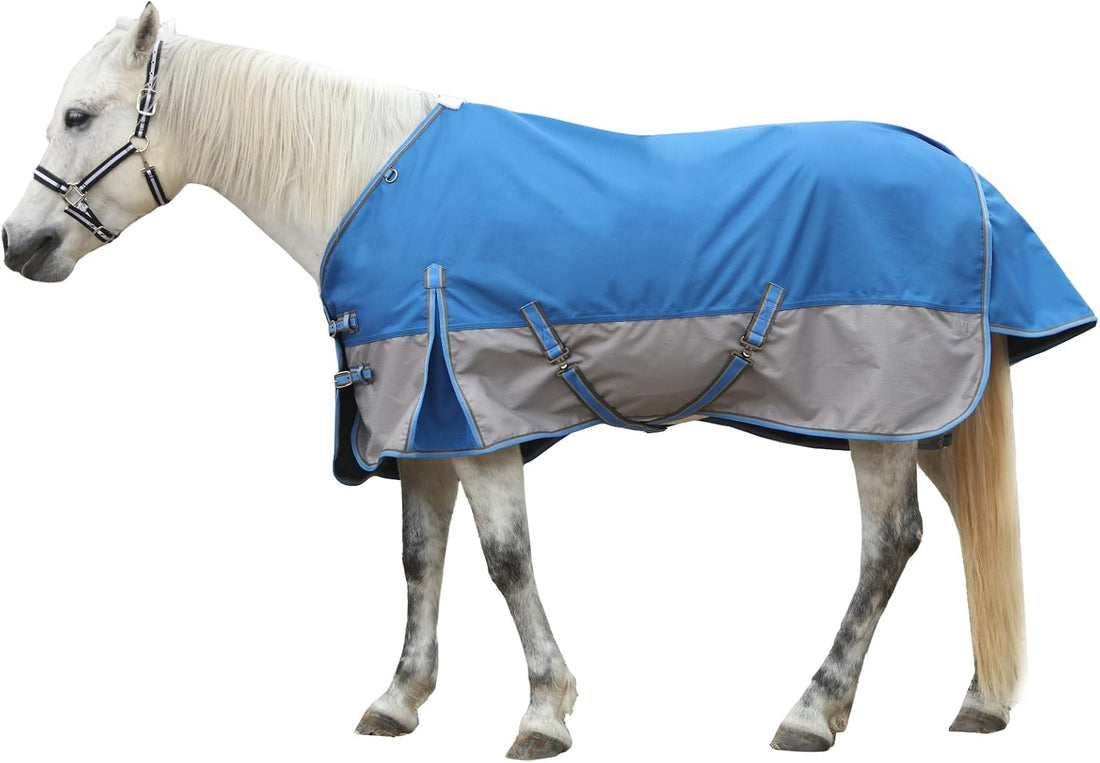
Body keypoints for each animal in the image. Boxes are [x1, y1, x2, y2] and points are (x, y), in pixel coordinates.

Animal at [2, 5, 1094, 758]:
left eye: (78, 114)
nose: (22, 246)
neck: (369, 181)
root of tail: (966, 179)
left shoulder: (475, 417)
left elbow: (505, 561)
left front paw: (542, 710)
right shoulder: (423, 424)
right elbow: (420, 561)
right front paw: (399, 698)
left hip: (883, 416)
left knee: (888, 545)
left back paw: (812, 709)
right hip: (929, 412)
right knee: (965, 525)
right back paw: (978, 699)